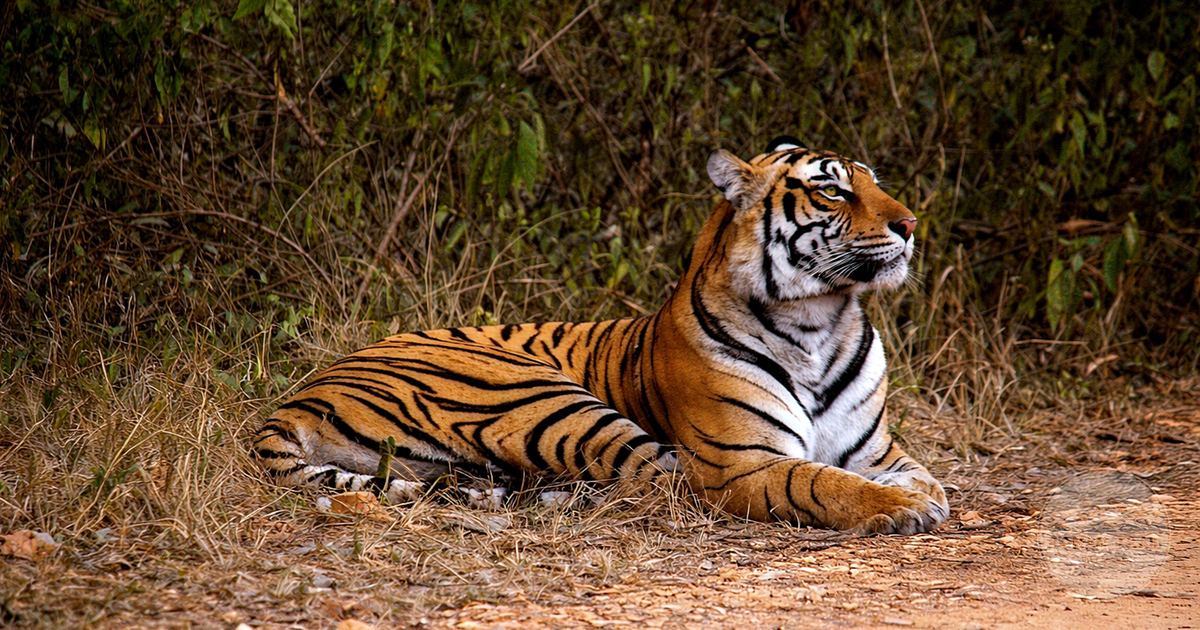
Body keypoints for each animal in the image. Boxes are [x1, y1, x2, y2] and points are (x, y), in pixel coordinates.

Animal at [253, 136, 949, 534]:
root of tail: (299, 396)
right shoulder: (741, 461)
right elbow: (819, 480)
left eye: (876, 182)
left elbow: (921, 475)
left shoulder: (878, 452)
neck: (819, 322)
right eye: (833, 190)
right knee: (658, 481)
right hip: (543, 396)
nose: (912, 223)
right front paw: (898, 510)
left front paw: (922, 497)